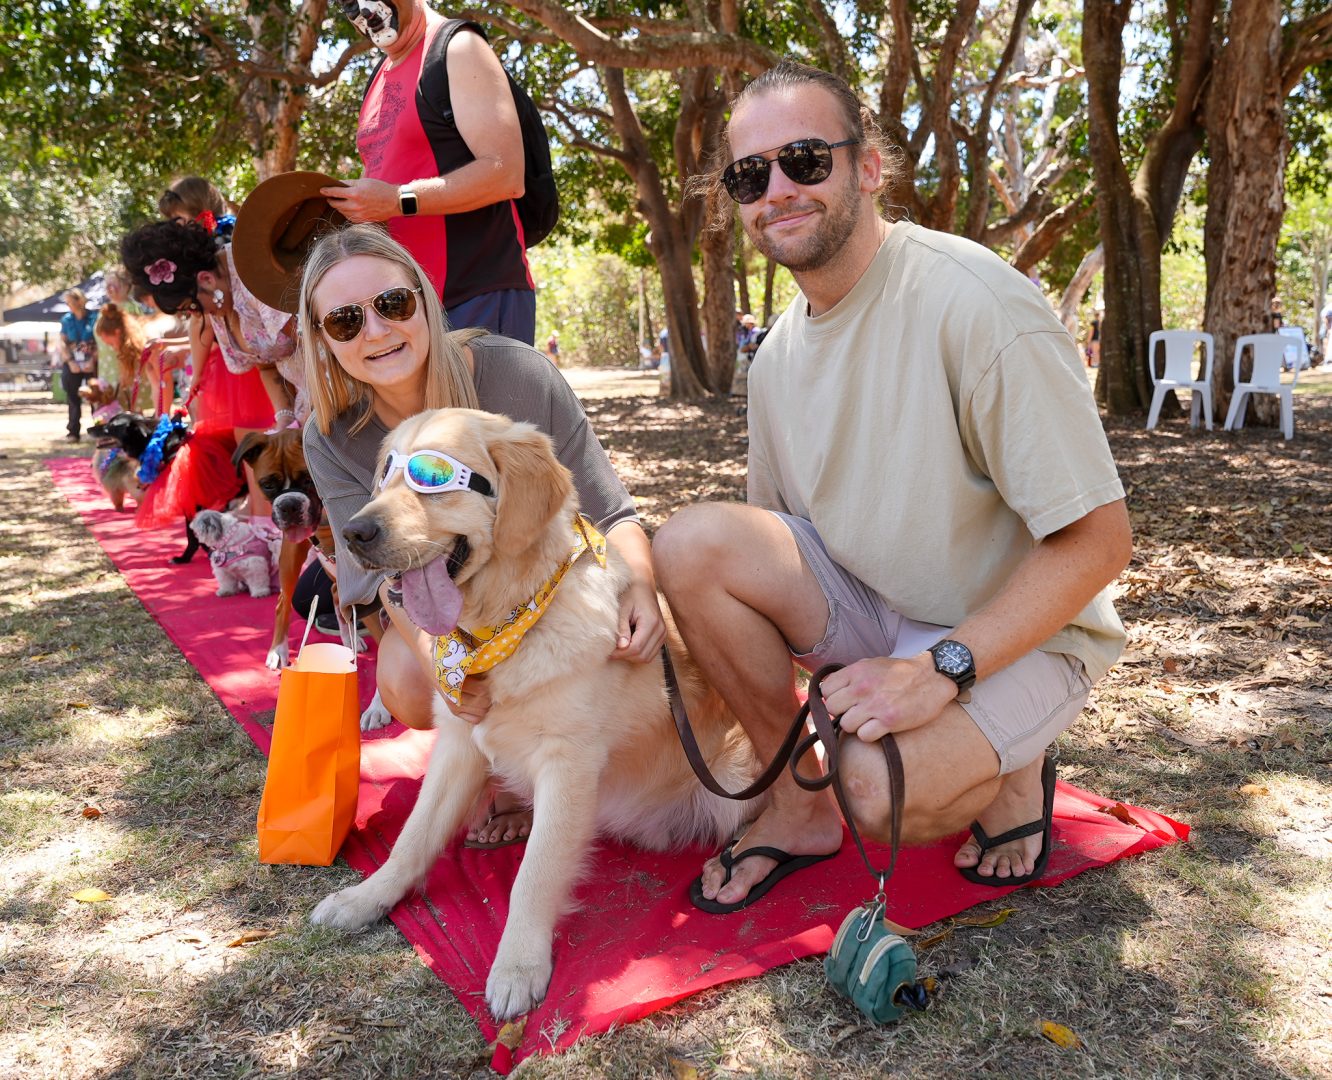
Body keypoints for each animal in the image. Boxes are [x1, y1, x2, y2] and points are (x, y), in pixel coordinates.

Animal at [233, 434, 388, 729]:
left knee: (337, 594)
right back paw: (278, 650)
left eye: (308, 479)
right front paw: (380, 707)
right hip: (292, 558)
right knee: (283, 603)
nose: (288, 504)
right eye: (268, 484)